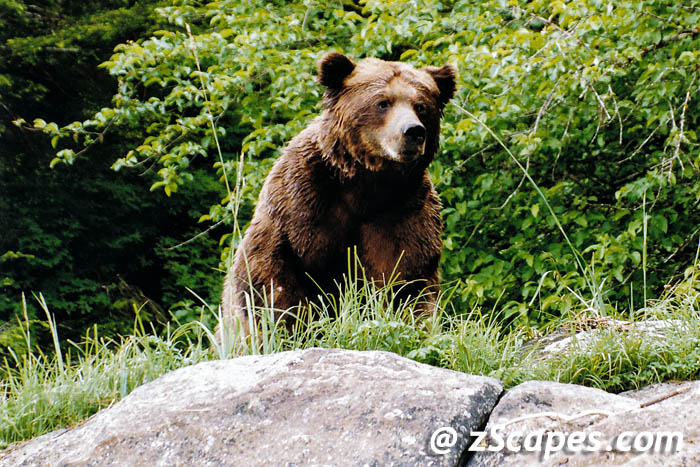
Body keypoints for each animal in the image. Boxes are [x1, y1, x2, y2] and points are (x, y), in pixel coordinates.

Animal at [221, 52, 456, 337]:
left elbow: (408, 276)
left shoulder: (404, 210)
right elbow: (270, 275)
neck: (367, 183)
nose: (413, 131)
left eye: (421, 105)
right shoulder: (302, 203)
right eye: (383, 102)